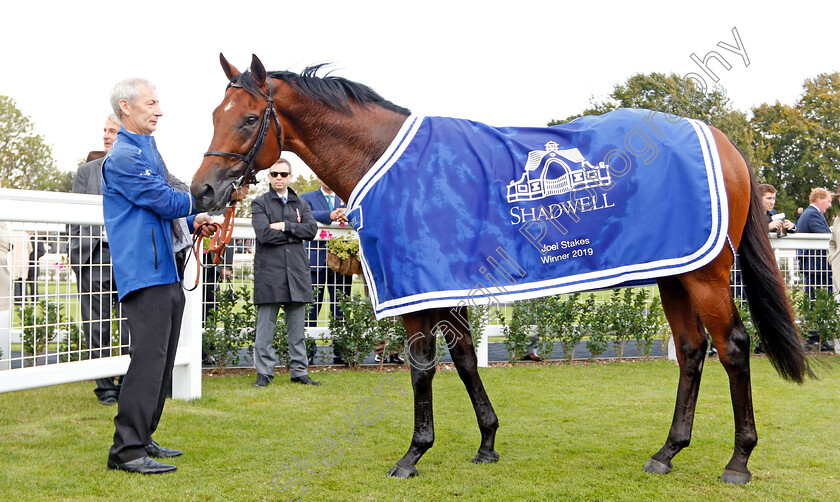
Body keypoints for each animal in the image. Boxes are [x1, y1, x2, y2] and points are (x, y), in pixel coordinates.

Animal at [192, 53, 812, 484]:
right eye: (216, 115)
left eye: (249, 119)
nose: (203, 192)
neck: (386, 161)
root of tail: (722, 141)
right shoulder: (444, 287)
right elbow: (465, 358)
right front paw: (486, 442)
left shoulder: (418, 289)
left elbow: (422, 366)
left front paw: (413, 453)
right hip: (675, 271)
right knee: (690, 349)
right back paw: (667, 451)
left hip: (707, 275)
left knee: (732, 347)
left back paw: (738, 460)